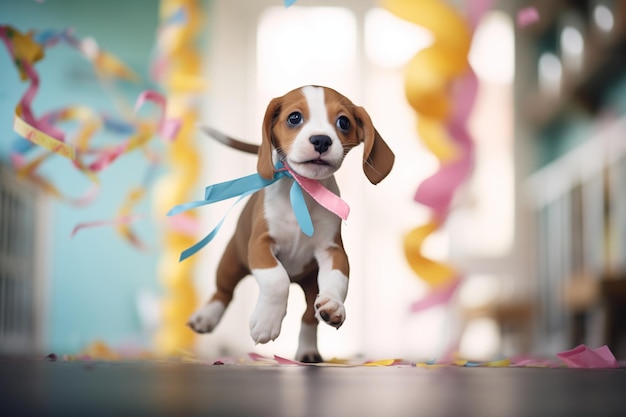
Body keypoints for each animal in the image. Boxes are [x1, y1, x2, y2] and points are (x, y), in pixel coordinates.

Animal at [188, 85, 392, 360]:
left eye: (344, 122)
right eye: (294, 118)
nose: (321, 140)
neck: (302, 190)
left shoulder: (332, 251)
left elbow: (338, 280)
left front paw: (333, 303)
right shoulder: (260, 244)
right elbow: (277, 279)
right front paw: (266, 322)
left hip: (310, 284)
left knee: (308, 316)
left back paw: (307, 350)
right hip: (232, 260)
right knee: (223, 292)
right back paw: (206, 317)